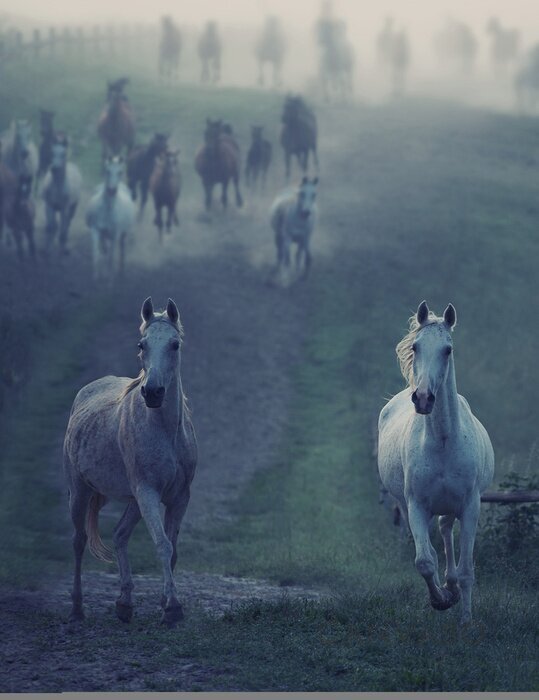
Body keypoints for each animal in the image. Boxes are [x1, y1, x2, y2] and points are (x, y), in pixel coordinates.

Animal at [63, 298, 198, 628]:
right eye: (142, 344)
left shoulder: (179, 497)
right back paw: (77, 610)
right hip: (81, 491)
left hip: (133, 501)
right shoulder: (148, 492)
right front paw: (172, 608)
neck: (165, 431)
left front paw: (165, 602)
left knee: (120, 535)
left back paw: (124, 604)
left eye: (175, 344)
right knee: (78, 541)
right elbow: (163, 544)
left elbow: (172, 549)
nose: (153, 392)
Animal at [378, 300, 496, 624]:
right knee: (434, 540)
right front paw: (440, 599)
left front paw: (465, 619)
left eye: (448, 349)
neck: (443, 440)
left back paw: (453, 587)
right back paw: (447, 589)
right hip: (408, 505)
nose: (423, 398)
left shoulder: (470, 505)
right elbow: (424, 561)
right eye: (416, 346)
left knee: (445, 530)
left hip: (452, 505)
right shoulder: (417, 505)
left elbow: (467, 571)